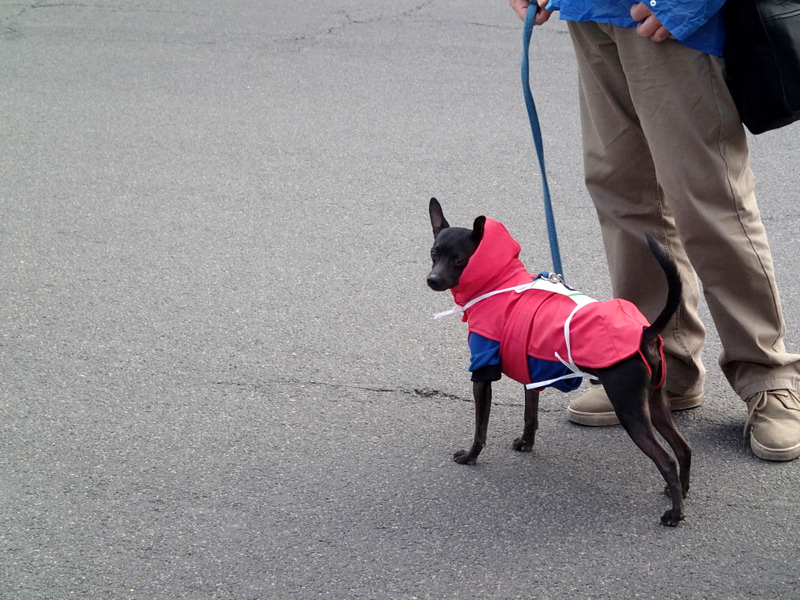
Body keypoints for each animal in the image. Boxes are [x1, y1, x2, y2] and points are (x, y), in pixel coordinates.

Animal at [428, 198, 692, 524]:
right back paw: (680, 492)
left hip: (631, 410)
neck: (498, 283)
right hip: (656, 403)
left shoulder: (482, 374)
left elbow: (480, 428)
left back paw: (674, 514)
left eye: (459, 260)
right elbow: (530, 415)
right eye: (434, 253)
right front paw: (526, 443)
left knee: (666, 460)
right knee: (683, 449)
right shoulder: (531, 373)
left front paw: (470, 456)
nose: (432, 279)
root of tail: (645, 331)